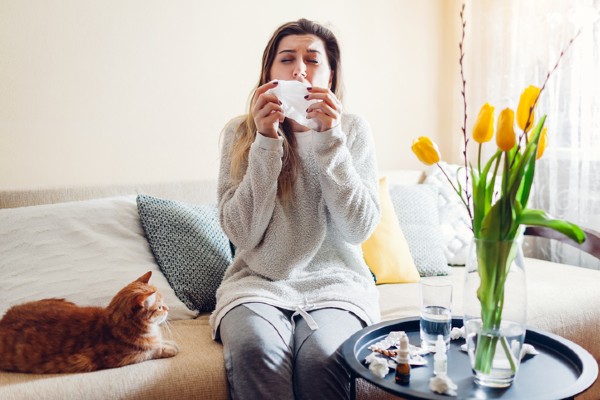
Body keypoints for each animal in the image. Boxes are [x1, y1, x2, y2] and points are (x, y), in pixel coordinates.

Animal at [0, 270, 178, 374]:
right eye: (160, 306)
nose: (168, 308)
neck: (112, 328)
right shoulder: (126, 358)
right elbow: (153, 351)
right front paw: (169, 347)